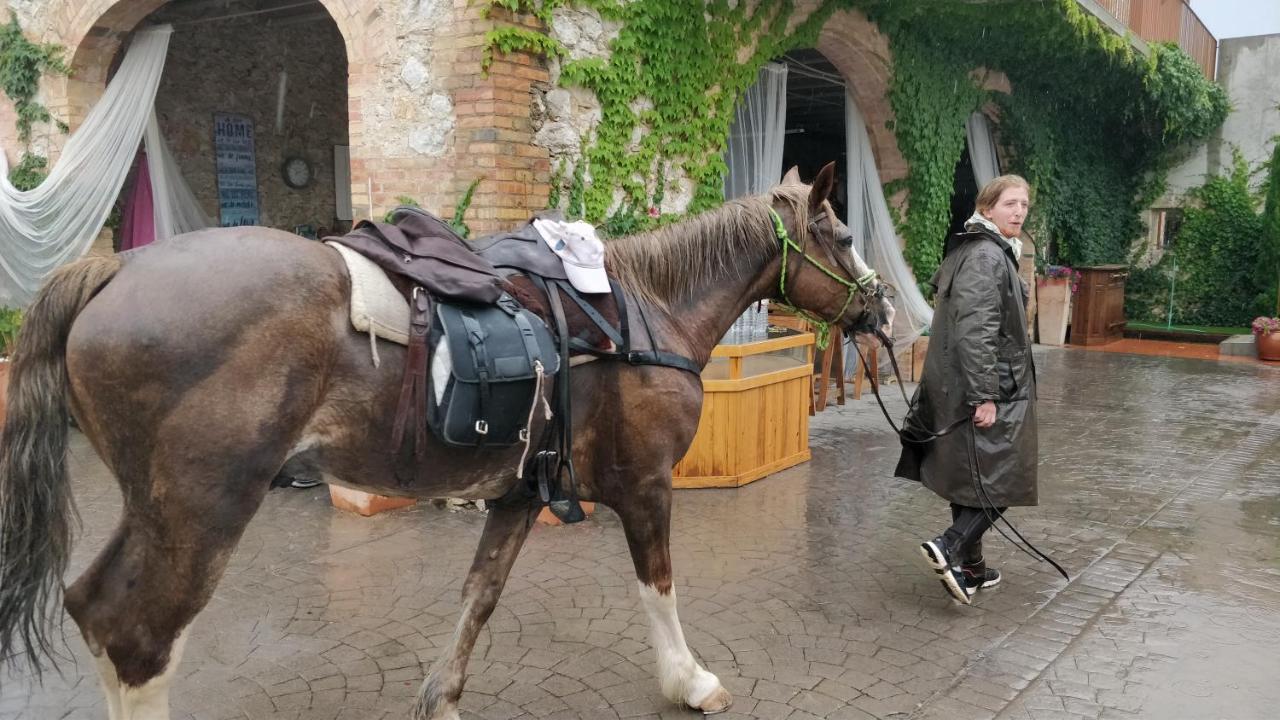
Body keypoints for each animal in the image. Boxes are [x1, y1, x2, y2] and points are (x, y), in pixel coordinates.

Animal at [2, 162, 890, 717]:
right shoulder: (646, 485)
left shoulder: (519, 495)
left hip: (153, 508)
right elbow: (660, 588)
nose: (879, 306)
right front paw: (690, 681)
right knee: (139, 636)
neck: (641, 310)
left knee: (94, 610)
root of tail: (114, 270)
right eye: (844, 237)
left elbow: (479, 596)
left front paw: (442, 697)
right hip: (202, 509)